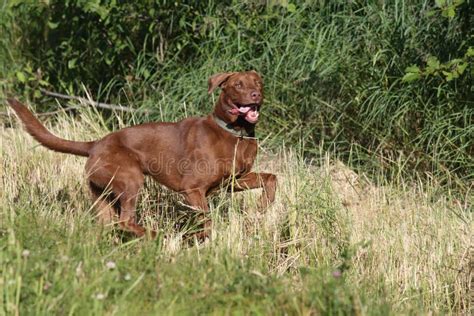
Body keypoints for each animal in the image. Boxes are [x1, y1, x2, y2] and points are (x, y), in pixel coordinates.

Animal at [5, 71, 276, 238]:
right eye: (238, 85)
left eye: (258, 83)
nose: (256, 95)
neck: (235, 133)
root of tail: (94, 144)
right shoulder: (193, 189)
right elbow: (206, 219)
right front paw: (204, 240)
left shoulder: (233, 181)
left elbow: (271, 177)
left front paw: (265, 206)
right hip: (130, 179)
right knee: (125, 220)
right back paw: (154, 235)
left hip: (102, 195)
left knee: (111, 224)